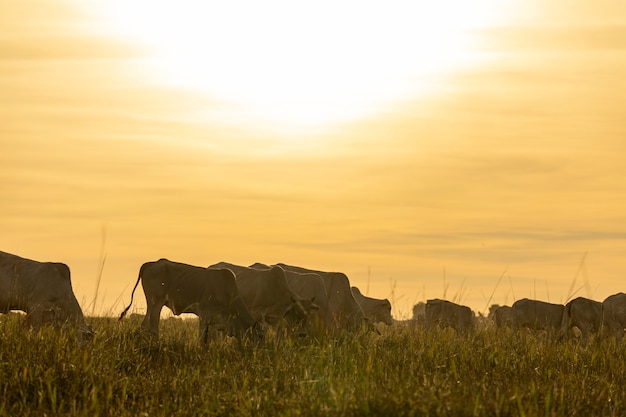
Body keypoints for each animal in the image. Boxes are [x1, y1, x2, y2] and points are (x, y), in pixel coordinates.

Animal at [119, 258, 260, 342]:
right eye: (259, 338)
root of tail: (152, 263)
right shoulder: (204, 314)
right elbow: (202, 339)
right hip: (156, 303)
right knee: (153, 326)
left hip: (151, 304)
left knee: (144, 325)